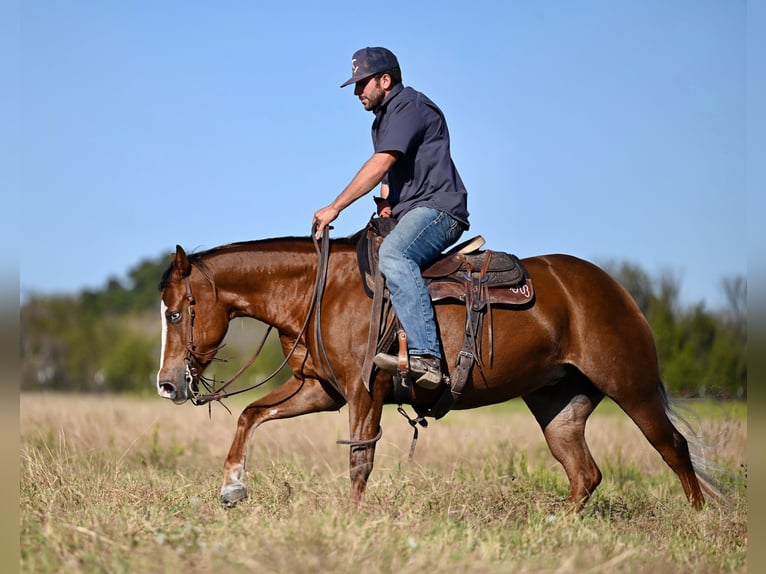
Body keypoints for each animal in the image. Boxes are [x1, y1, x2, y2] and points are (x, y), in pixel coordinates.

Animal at [156, 235, 712, 512]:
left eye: (176, 313)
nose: (166, 384)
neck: (321, 290)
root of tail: (615, 289)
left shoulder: (363, 392)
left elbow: (360, 459)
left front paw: (352, 519)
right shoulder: (321, 391)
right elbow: (250, 415)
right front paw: (233, 486)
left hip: (631, 387)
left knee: (673, 448)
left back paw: (698, 521)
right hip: (559, 405)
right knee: (584, 473)